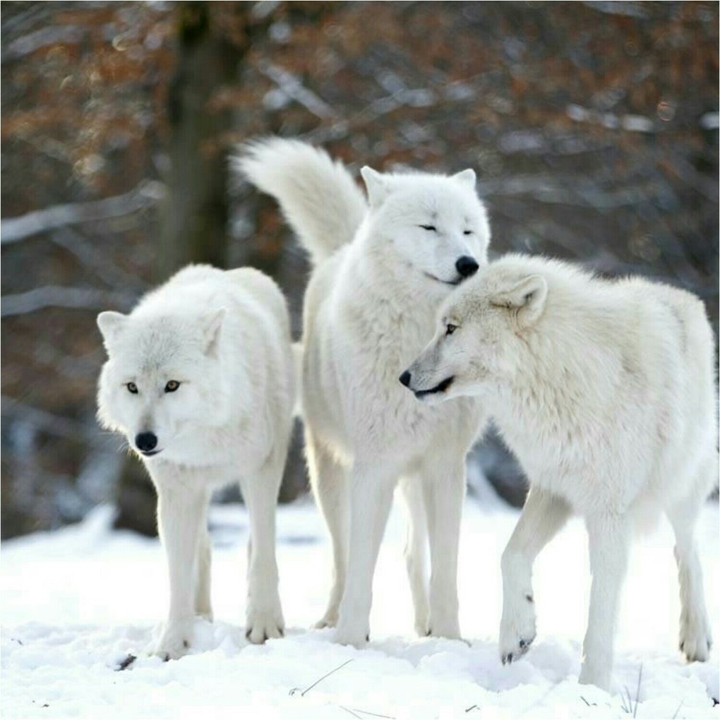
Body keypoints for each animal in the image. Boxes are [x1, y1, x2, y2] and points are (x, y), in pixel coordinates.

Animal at [96, 264, 295, 658]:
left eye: (172, 385)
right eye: (132, 387)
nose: (145, 441)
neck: (205, 440)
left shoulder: (261, 470)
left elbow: (264, 554)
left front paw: (264, 625)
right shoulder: (175, 492)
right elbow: (178, 574)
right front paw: (173, 643)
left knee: (252, 544)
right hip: (196, 494)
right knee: (203, 547)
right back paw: (201, 616)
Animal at [237, 138, 491, 646]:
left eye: (468, 230)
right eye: (429, 226)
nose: (468, 265)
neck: (417, 343)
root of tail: (342, 247)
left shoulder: (445, 467)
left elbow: (446, 571)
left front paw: (450, 641)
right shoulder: (374, 466)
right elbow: (360, 568)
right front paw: (351, 641)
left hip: (413, 479)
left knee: (414, 554)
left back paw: (425, 626)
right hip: (331, 474)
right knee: (341, 554)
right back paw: (331, 619)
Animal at [401, 253, 717, 689]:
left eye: (450, 328)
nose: (404, 377)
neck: (558, 373)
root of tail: (683, 297)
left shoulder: (609, 514)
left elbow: (601, 610)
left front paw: (593, 687)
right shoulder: (553, 489)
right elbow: (510, 555)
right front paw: (516, 634)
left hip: (681, 488)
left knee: (688, 552)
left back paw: (696, 637)